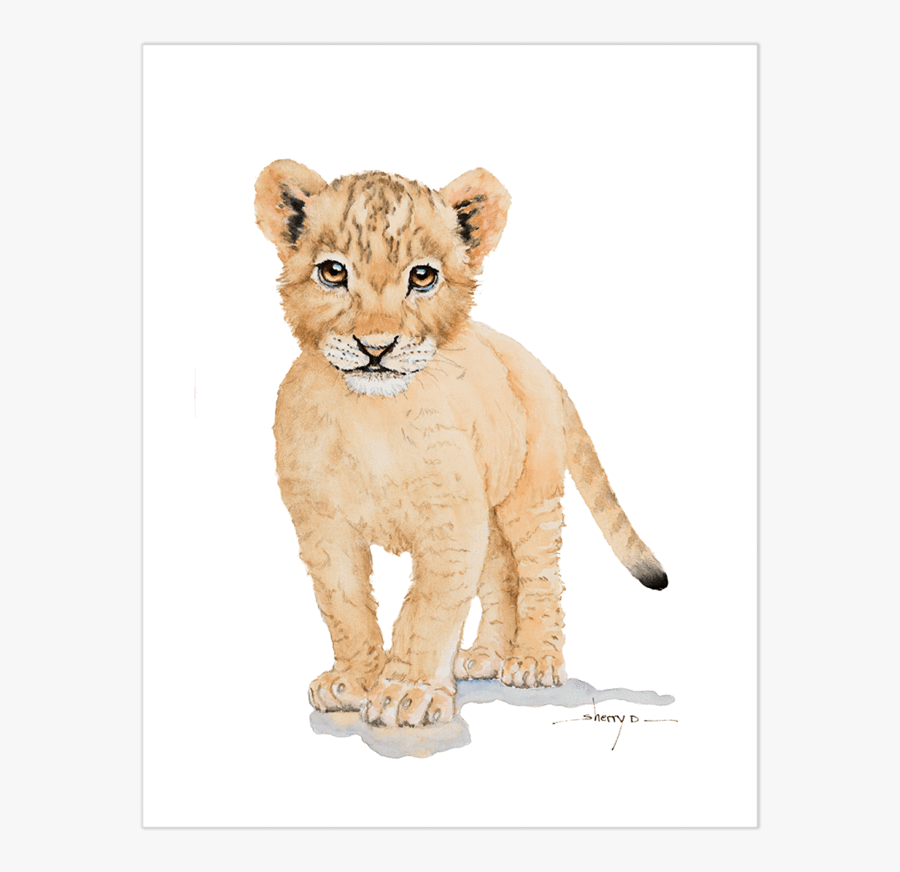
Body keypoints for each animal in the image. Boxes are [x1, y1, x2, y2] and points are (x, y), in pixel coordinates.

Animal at [254, 160, 667, 728]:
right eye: (333, 272)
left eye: (422, 276)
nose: (375, 347)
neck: (369, 416)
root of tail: (538, 364)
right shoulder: (322, 523)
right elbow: (344, 605)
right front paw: (353, 681)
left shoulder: (449, 518)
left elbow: (429, 607)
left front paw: (407, 692)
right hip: (487, 510)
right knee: (499, 576)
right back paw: (487, 656)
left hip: (529, 496)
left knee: (539, 575)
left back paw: (534, 660)